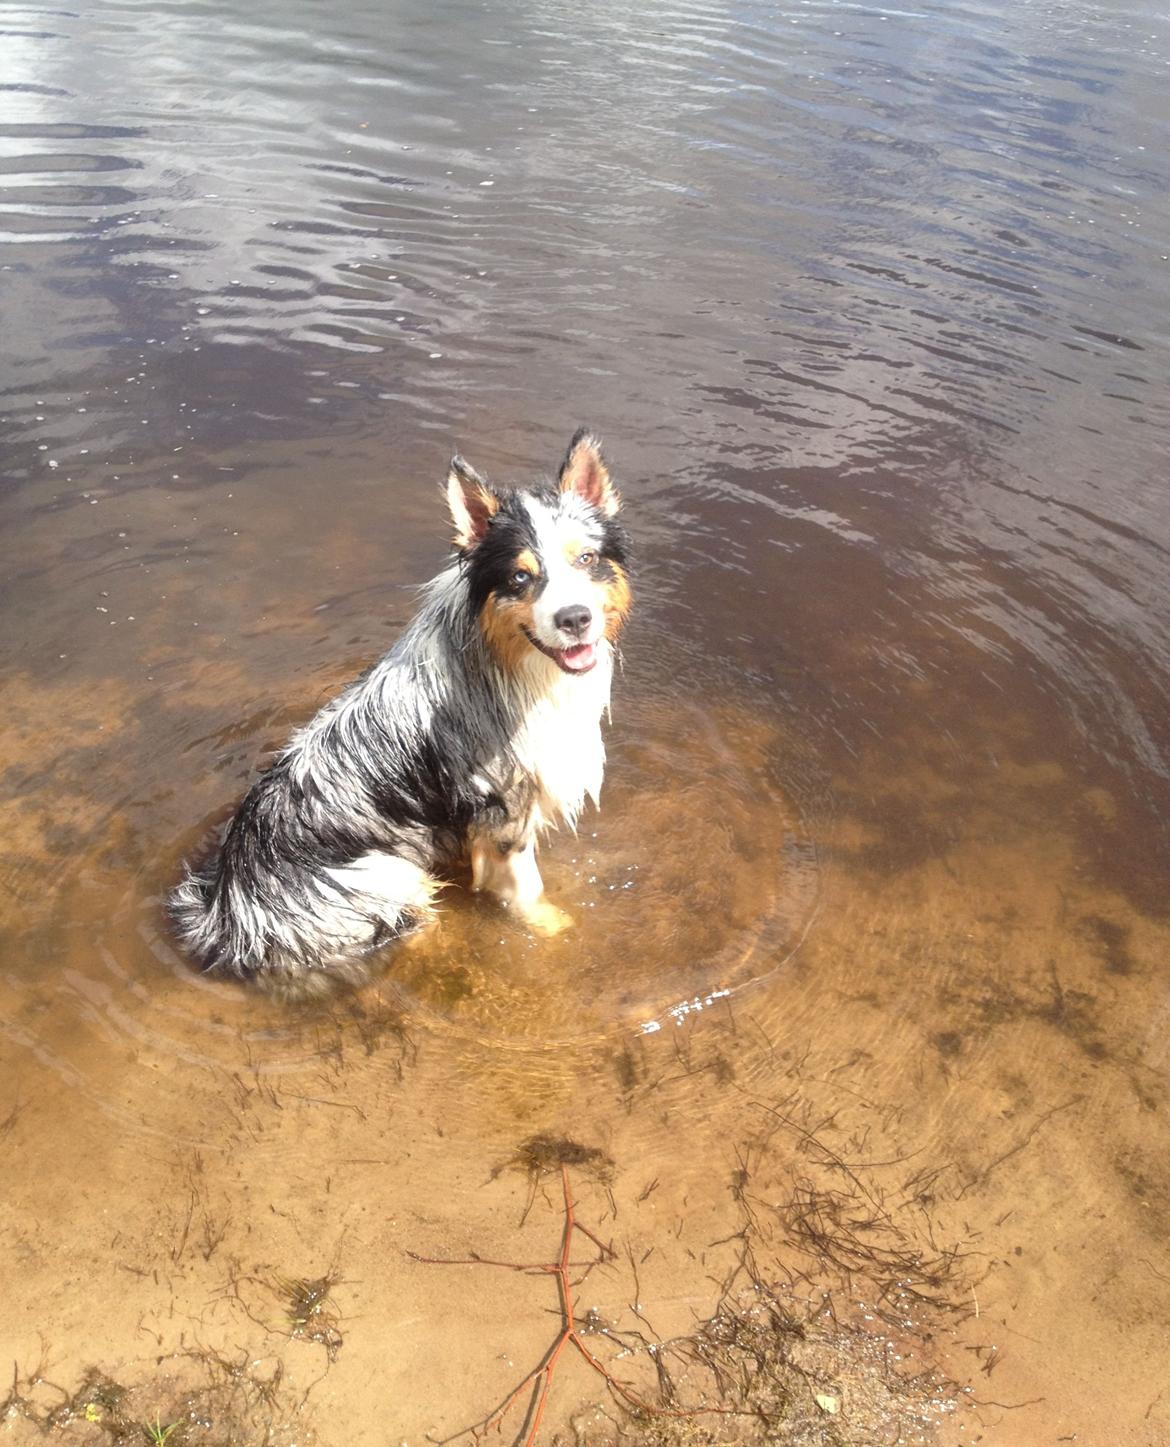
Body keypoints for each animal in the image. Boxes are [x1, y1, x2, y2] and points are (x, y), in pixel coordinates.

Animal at [166, 428, 630, 995]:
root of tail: (224, 913)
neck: (512, 667)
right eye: (521, 577)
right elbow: (526, 891)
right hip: (385, 879)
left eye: (586, 559)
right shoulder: (503, 809)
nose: (575, 618)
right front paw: (552, 930)